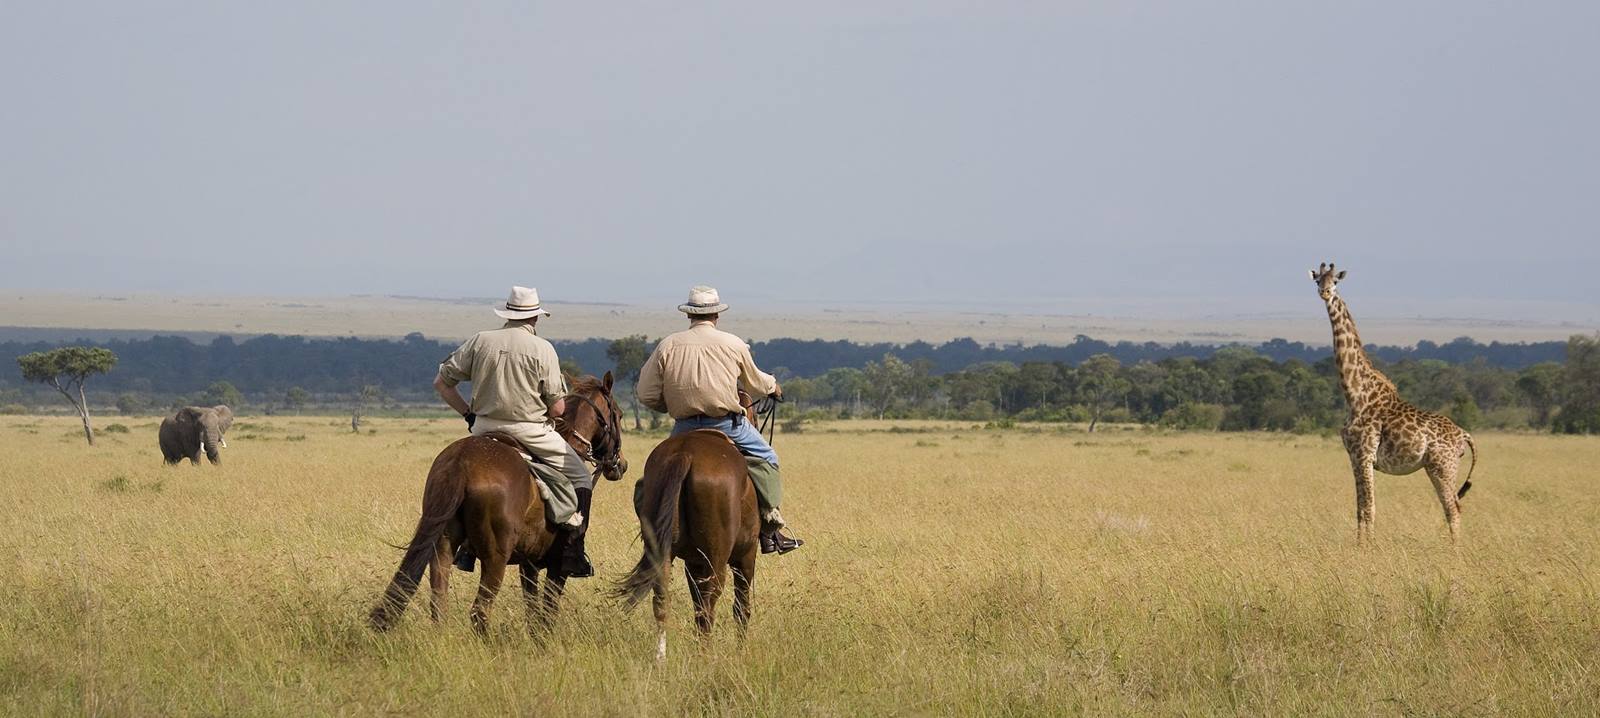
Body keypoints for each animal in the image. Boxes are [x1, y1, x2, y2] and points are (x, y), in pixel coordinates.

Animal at [369, 372, 627, 635]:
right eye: (618, 415)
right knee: (479, 611)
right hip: (495, 558)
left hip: (443, 545)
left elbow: (533, 614)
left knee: (439, 603)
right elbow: (547, 614)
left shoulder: (529, 563)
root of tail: (461, 462)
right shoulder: (556, 566)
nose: (621, 464)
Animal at [615, 392, 764, 660]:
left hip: (663, 550)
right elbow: (741, 606)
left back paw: (662, 656)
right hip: (717, 558)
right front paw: (741, 649)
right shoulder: (747, 555)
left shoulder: (693, 562)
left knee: (663, 597)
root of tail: (685, 454)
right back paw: (705, 656)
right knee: (709, 601)